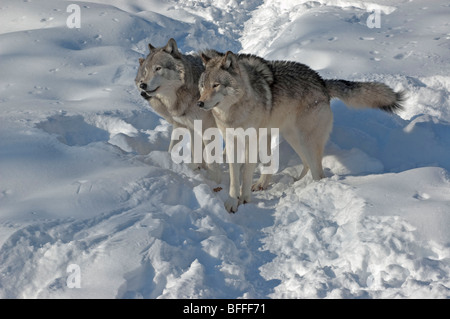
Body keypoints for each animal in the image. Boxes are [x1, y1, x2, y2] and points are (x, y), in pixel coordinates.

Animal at [136, 38, 222, 184]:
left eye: (158, 68)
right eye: (145, 72)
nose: (143, 86)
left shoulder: (207, 128)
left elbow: (211, 160)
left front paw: (215, 182)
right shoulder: (188, 126)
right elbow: (183, 150)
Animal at [199, 51, 402, 214]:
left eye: (216, 85)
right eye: (202, 86)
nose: (199, 103)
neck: (235, 111)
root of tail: (321, 81)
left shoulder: (253, 141)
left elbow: (246, 174)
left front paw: (245, 199)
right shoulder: (233, 143)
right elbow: (235, 177)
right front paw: (232, 203)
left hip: (306, 140)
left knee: (318, 172)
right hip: (293, 138)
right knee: (305, 164)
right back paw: (290, 182)